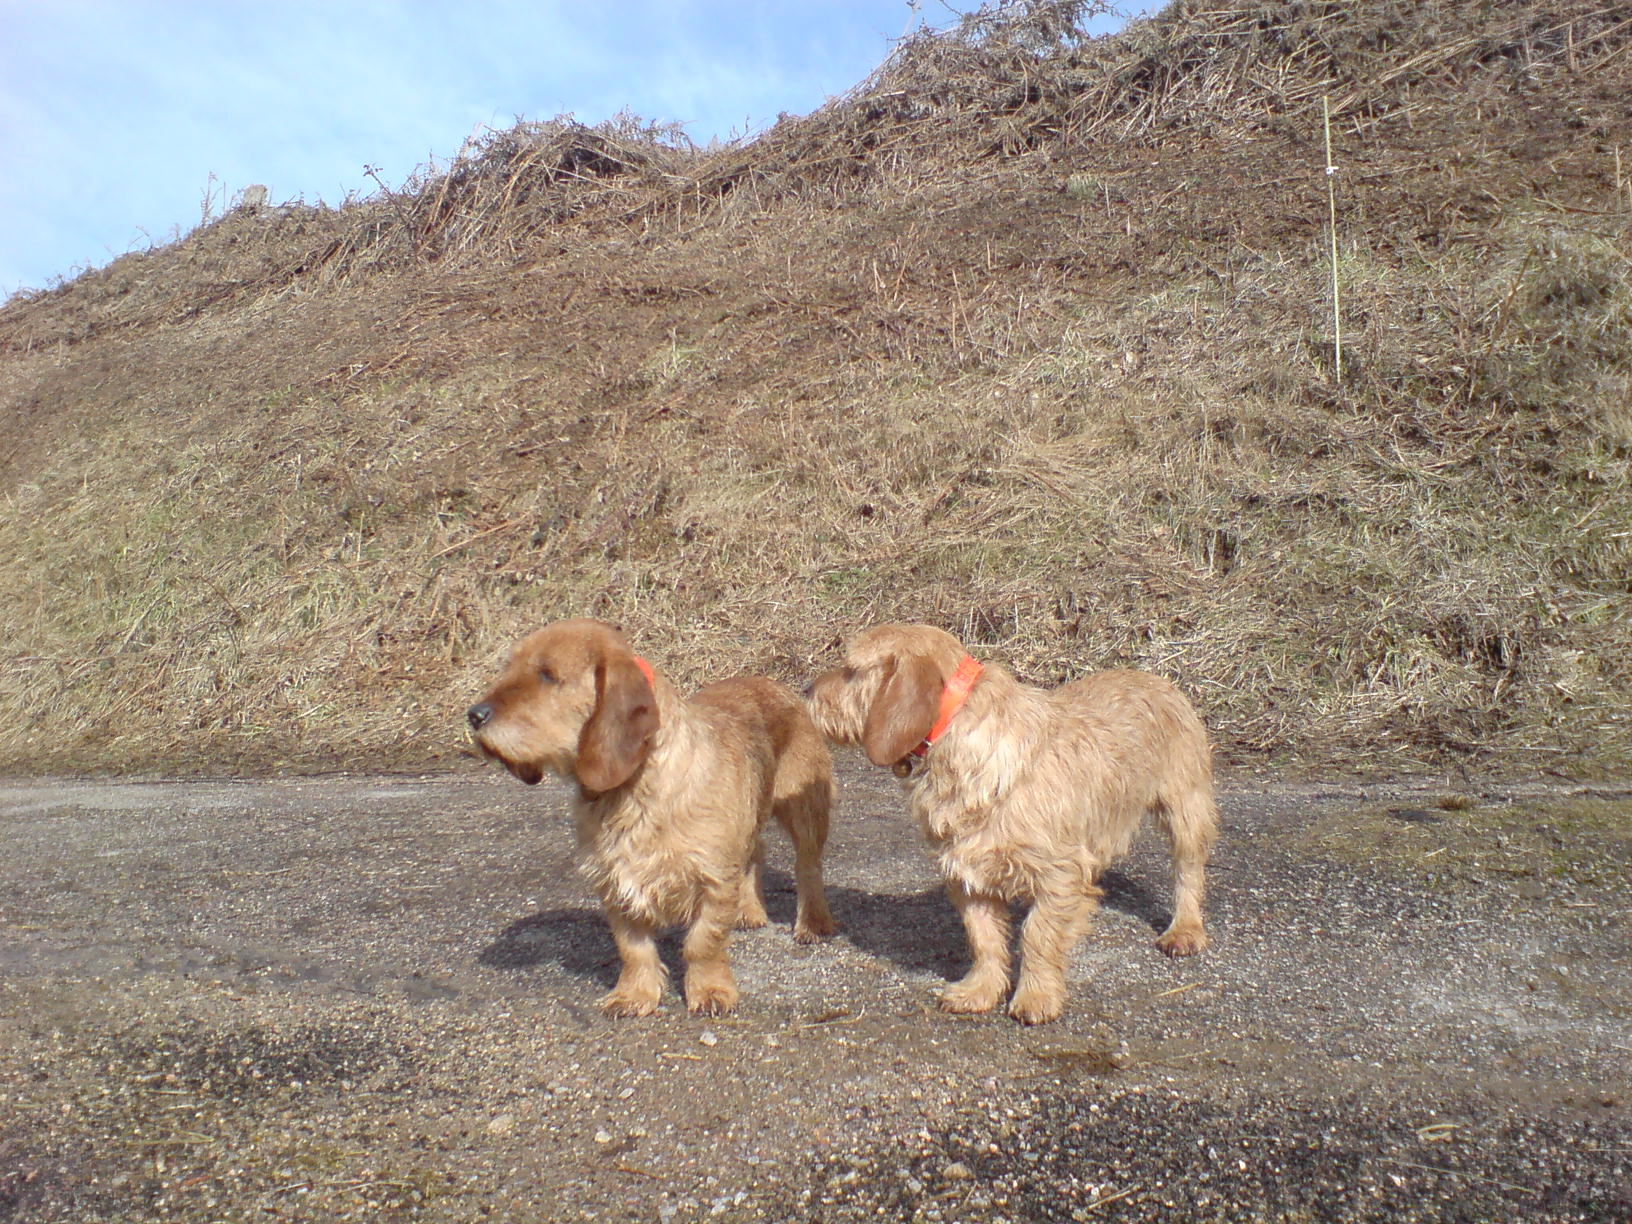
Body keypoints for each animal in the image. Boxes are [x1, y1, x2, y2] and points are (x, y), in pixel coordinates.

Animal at [466, 623, 835, 1018]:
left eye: (547, 675)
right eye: (508, 668)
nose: (473, 715)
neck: (633, 793)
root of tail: (775, 684)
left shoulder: (714, 880)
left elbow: (702, 943)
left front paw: (710, 990)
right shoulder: (614, 885)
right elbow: (634, 950)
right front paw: (634, 994)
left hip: (804, 809)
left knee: (807, 868)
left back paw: (813, 922)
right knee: (756, 853)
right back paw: (749, 910)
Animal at [809, 623, 1220, 1024]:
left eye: (850, 670)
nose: (806, 689)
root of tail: (1157, 679)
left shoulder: (1057, 874)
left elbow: (1038, 935)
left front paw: (1036, 995)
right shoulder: (967, 875)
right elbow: (985, 940)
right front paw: (981, 989)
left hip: (1185, 810)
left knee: (1189, 872)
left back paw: (1185, 929)